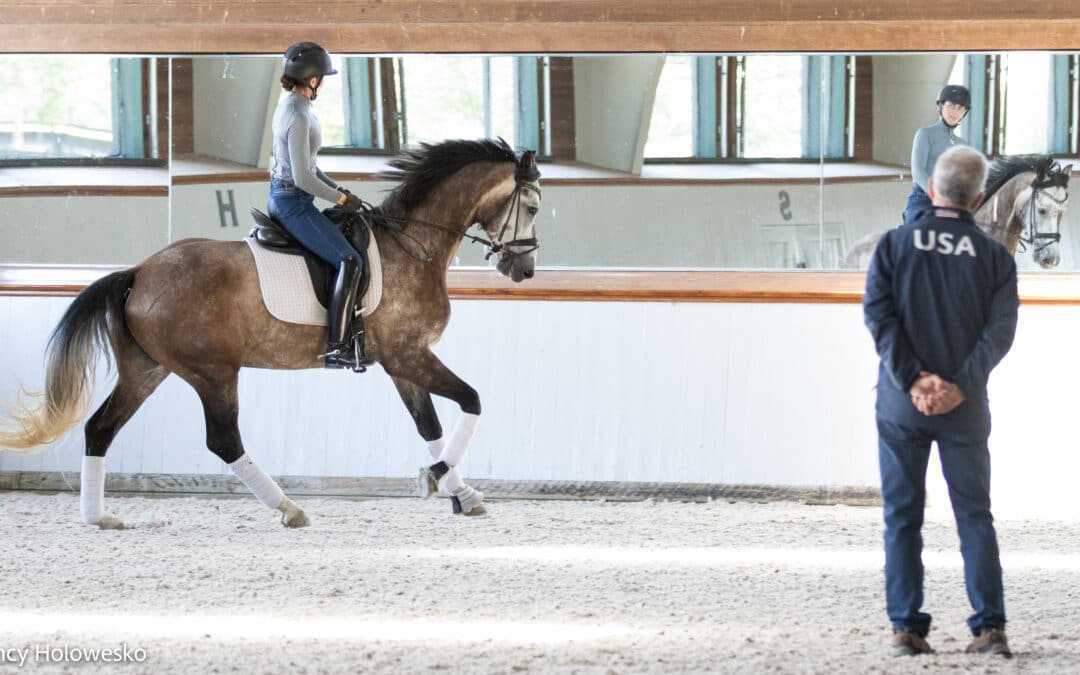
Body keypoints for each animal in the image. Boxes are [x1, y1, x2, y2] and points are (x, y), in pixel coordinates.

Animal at [0, 138, 542, 529]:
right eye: (534, 208)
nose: (524, 270)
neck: (413, 246)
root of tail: (138, 272)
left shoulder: (403, 362)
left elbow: (429, 427)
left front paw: (461, 492)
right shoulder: (409, 355)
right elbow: (471, 401)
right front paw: (435, 480)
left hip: (147, 370)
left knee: (100, 428)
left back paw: (97, 517)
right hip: (212, 372)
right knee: (223, 440)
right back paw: (289, 507)